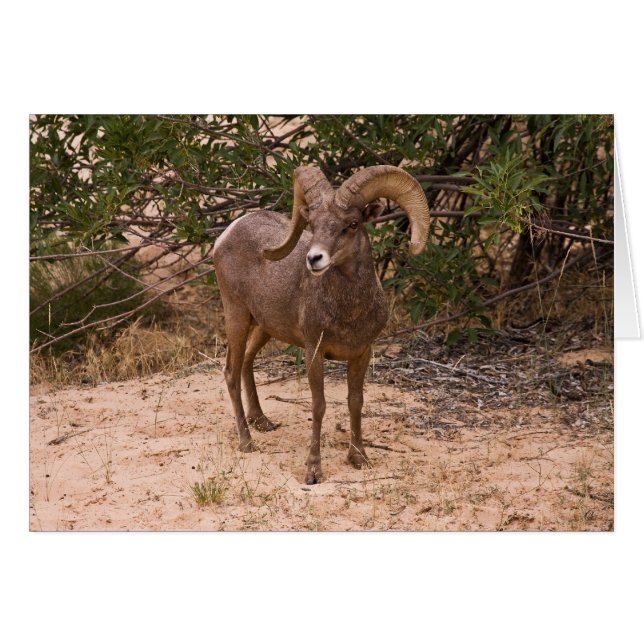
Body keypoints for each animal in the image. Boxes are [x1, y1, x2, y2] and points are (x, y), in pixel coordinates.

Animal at [213, 165, 430, 484]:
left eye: (352, 223)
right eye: (312, 225)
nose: (314, 259)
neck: (349, 313)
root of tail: (227, 234)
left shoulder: (362, 354)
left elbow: (355, 402)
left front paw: (359, 458)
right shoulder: (314, 352)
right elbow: (319, 405)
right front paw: (313, 472)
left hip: (264, 326)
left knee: (247, 362)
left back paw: (262, 421)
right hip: (236, 316)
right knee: (230, 371)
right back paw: (247, 441)